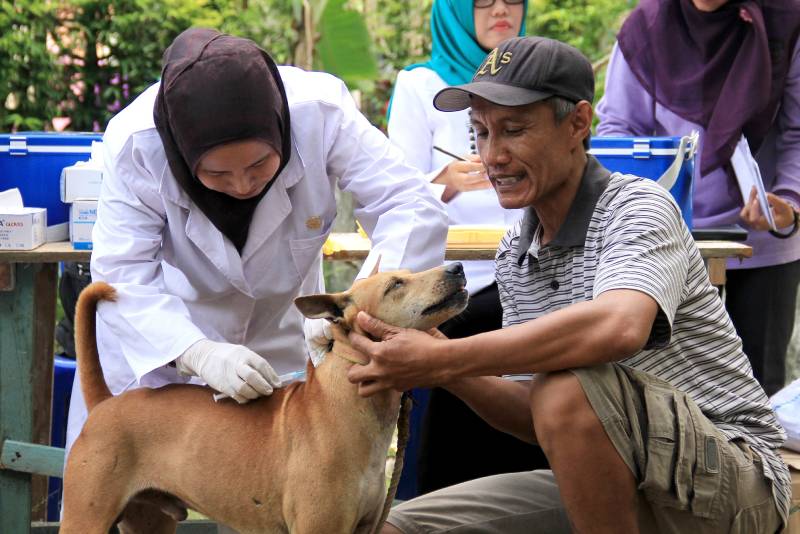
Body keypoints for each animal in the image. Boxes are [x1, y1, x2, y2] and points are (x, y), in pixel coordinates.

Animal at [61, 264, 468, 534]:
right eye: (395, 285)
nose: (457, 266)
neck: (347, 404)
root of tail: (105, 403)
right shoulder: (318, 528)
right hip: (85, 517)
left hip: (149, 518)